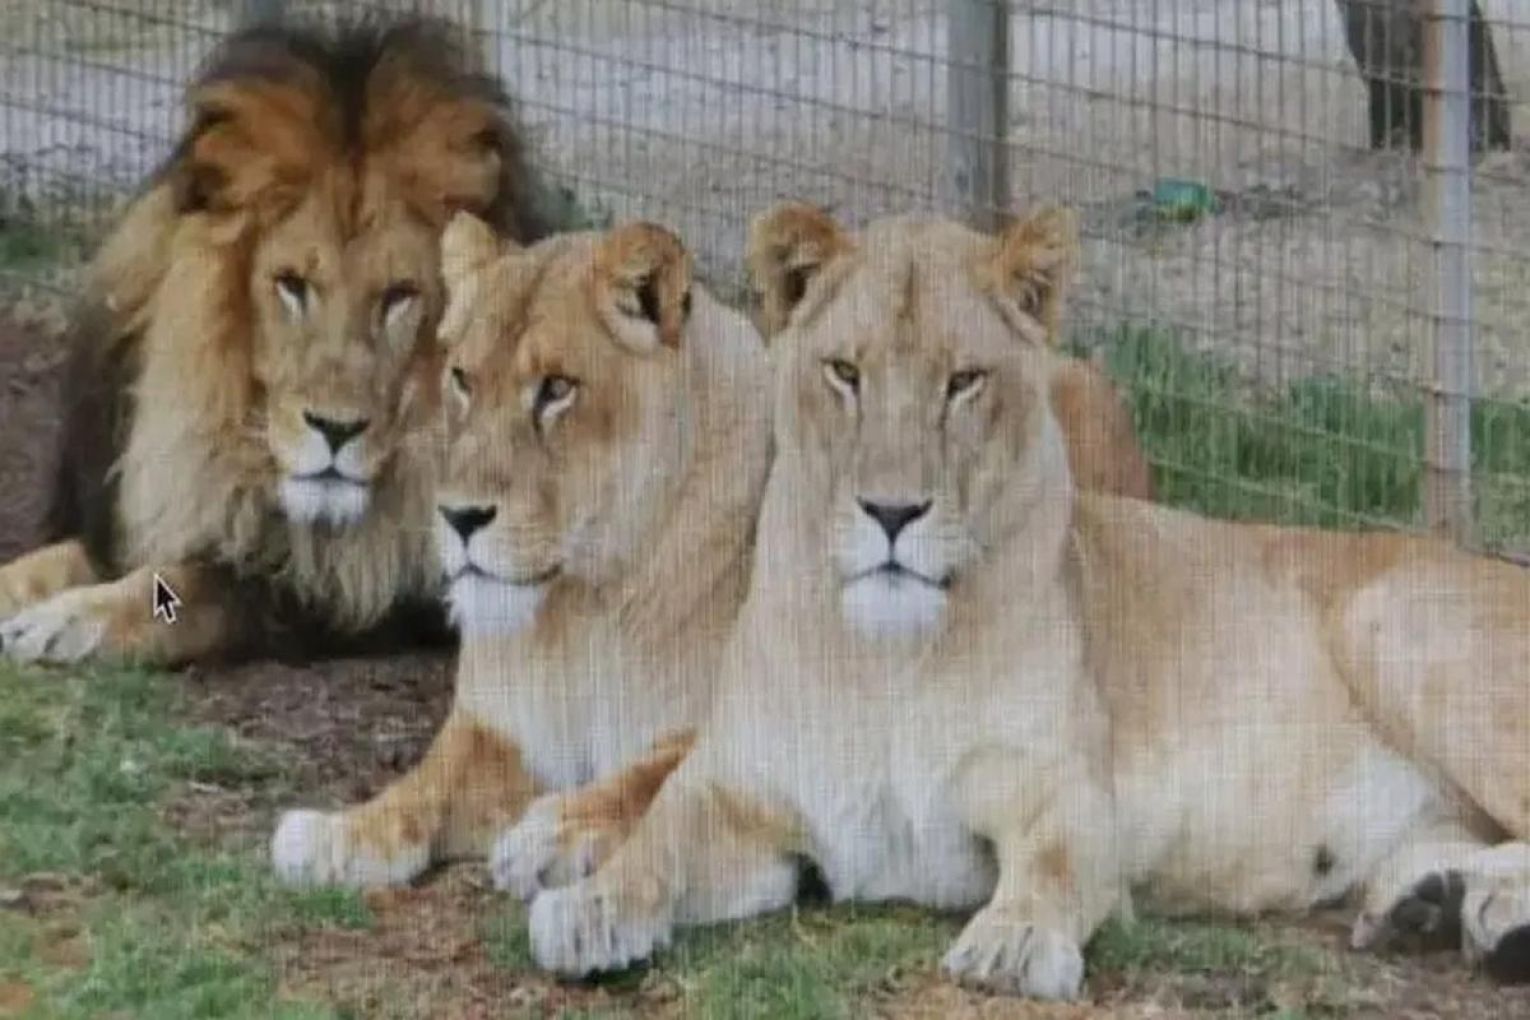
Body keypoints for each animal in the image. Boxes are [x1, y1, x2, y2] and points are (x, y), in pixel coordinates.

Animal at [0, 16, 555, 667]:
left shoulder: (344, 592)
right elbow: (47, 562)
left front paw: (63, 621)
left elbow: (187, 589)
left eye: (399, 295)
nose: (336, 431)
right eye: (291, 284)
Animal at [517, 204, 1530, 1000]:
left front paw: (1013, 940)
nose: (892, 512)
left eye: (964, 382)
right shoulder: (743, 792)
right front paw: (588, 908)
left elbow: (1052, 863)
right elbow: (661, 835)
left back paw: (1484, 914)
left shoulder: (1069, 792)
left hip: (1399, 625)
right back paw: (1428, 904)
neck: (885, 659)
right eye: (845, 373)